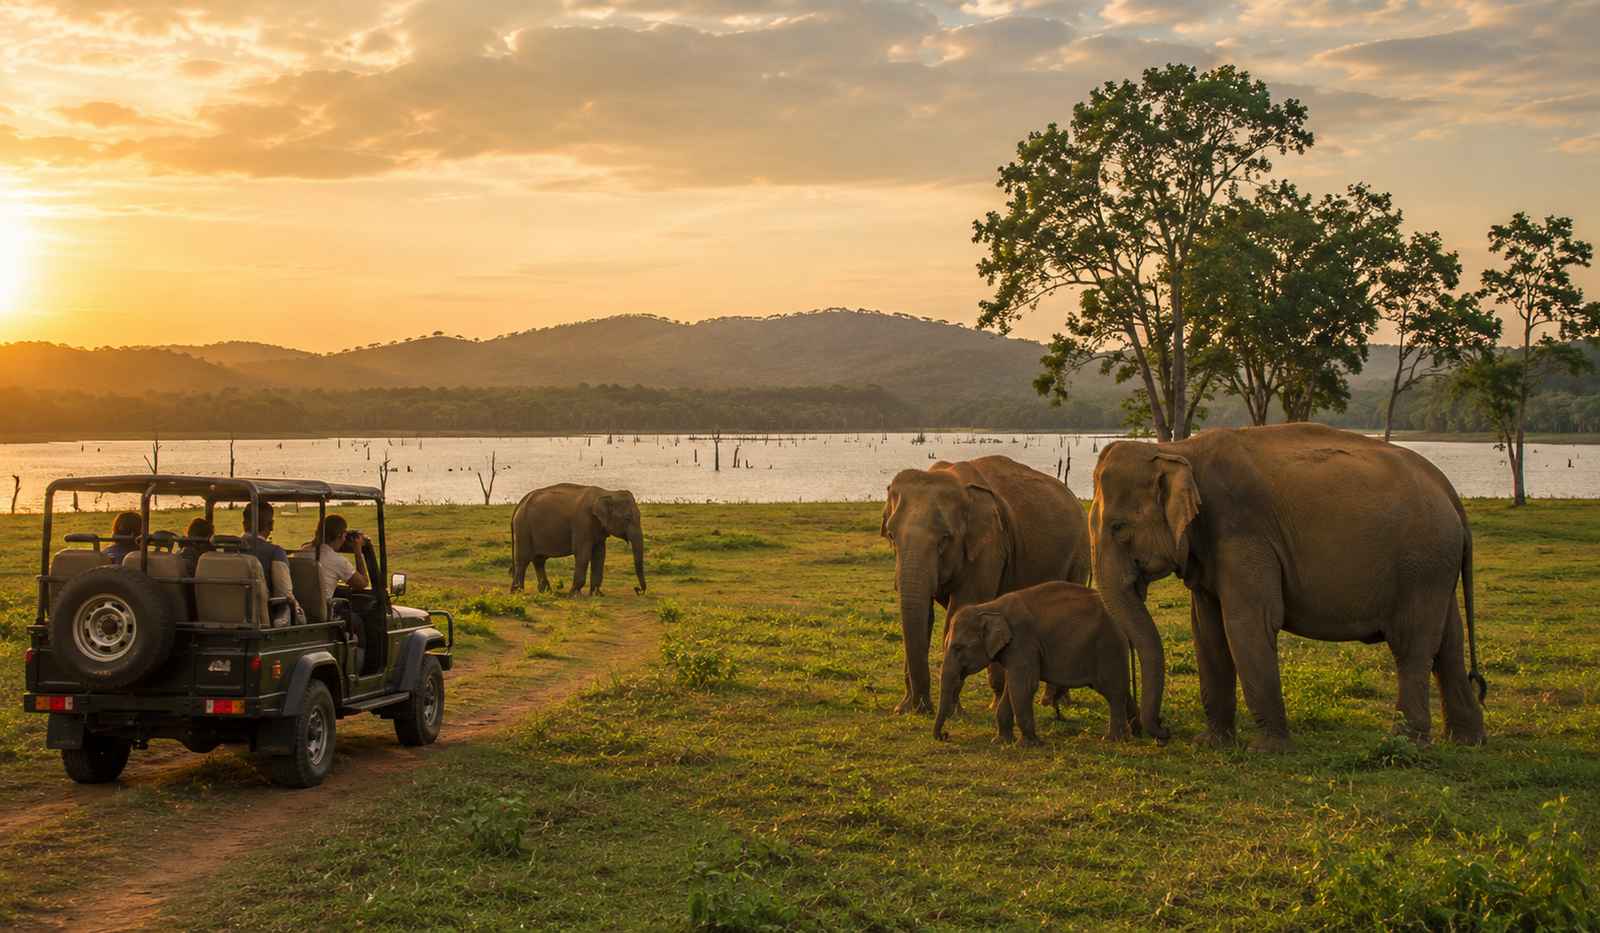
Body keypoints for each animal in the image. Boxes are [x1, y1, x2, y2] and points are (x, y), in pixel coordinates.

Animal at [510, 484, 646, 596]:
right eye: (627, 518)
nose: (637, 589)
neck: (606, 492)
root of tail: (520, 503)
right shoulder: (582, 522)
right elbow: (583, 554)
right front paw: (574, 594)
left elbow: (600, 555)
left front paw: (597, 594)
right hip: (523, 528)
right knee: (523, 560)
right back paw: (518, 592)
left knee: (539, 560)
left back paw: (546, 592)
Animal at [881, 455, 1090, 715]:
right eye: (891, 535)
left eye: (945, 538)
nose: (920, 708)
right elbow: (924, 614)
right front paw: (905, 708)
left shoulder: (989, 547)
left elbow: (960, 609)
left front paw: (953, 712)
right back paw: (1001, 701)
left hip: (1079, 555)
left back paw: (1053, 702)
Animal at [934, 582, 1137, 745]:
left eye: (958, 648)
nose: (945, 735)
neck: (989, 607)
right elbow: (1012, 687)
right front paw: (1001, 741)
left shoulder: (1023, 642)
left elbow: (1023, 686)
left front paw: (1029, 744)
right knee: (1120, 691)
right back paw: (1130, 734)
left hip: (1109, 647)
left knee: (1114, 692)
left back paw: (1112, 739)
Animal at [1089, 423, 1486, 750]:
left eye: (1119, 528)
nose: (1161, 731)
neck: (1177, 449)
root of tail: (1450, 493)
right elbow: (1207, 630)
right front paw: (1211, 743)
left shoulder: (1243, 533)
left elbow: (1248, 623)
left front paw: (1267, 749)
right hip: (1436, 568)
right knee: (1449, 644)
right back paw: (1466, 740)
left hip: (1422, 562)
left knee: (1412, 645)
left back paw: (1406, 742)